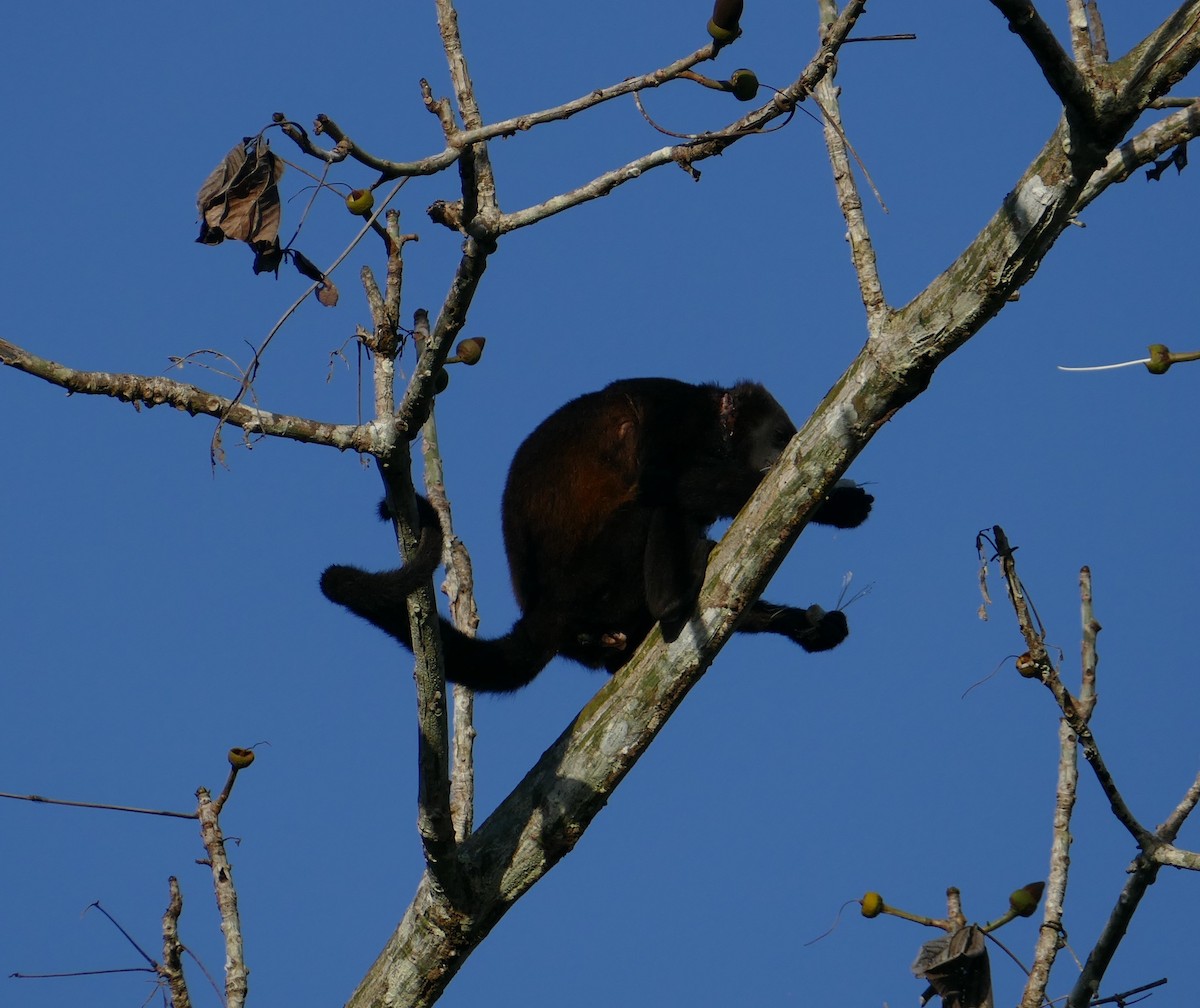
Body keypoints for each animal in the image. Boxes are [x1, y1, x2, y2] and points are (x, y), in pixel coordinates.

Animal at [320, 377, 872, 693]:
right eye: (779, 437)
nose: (779, 455)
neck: (714, 423)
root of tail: (542, 613)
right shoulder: (676, 412)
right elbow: (662, 479)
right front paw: (838, 503)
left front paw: (810, 624)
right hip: (594, 580)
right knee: (655, 506)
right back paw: (671, 600)